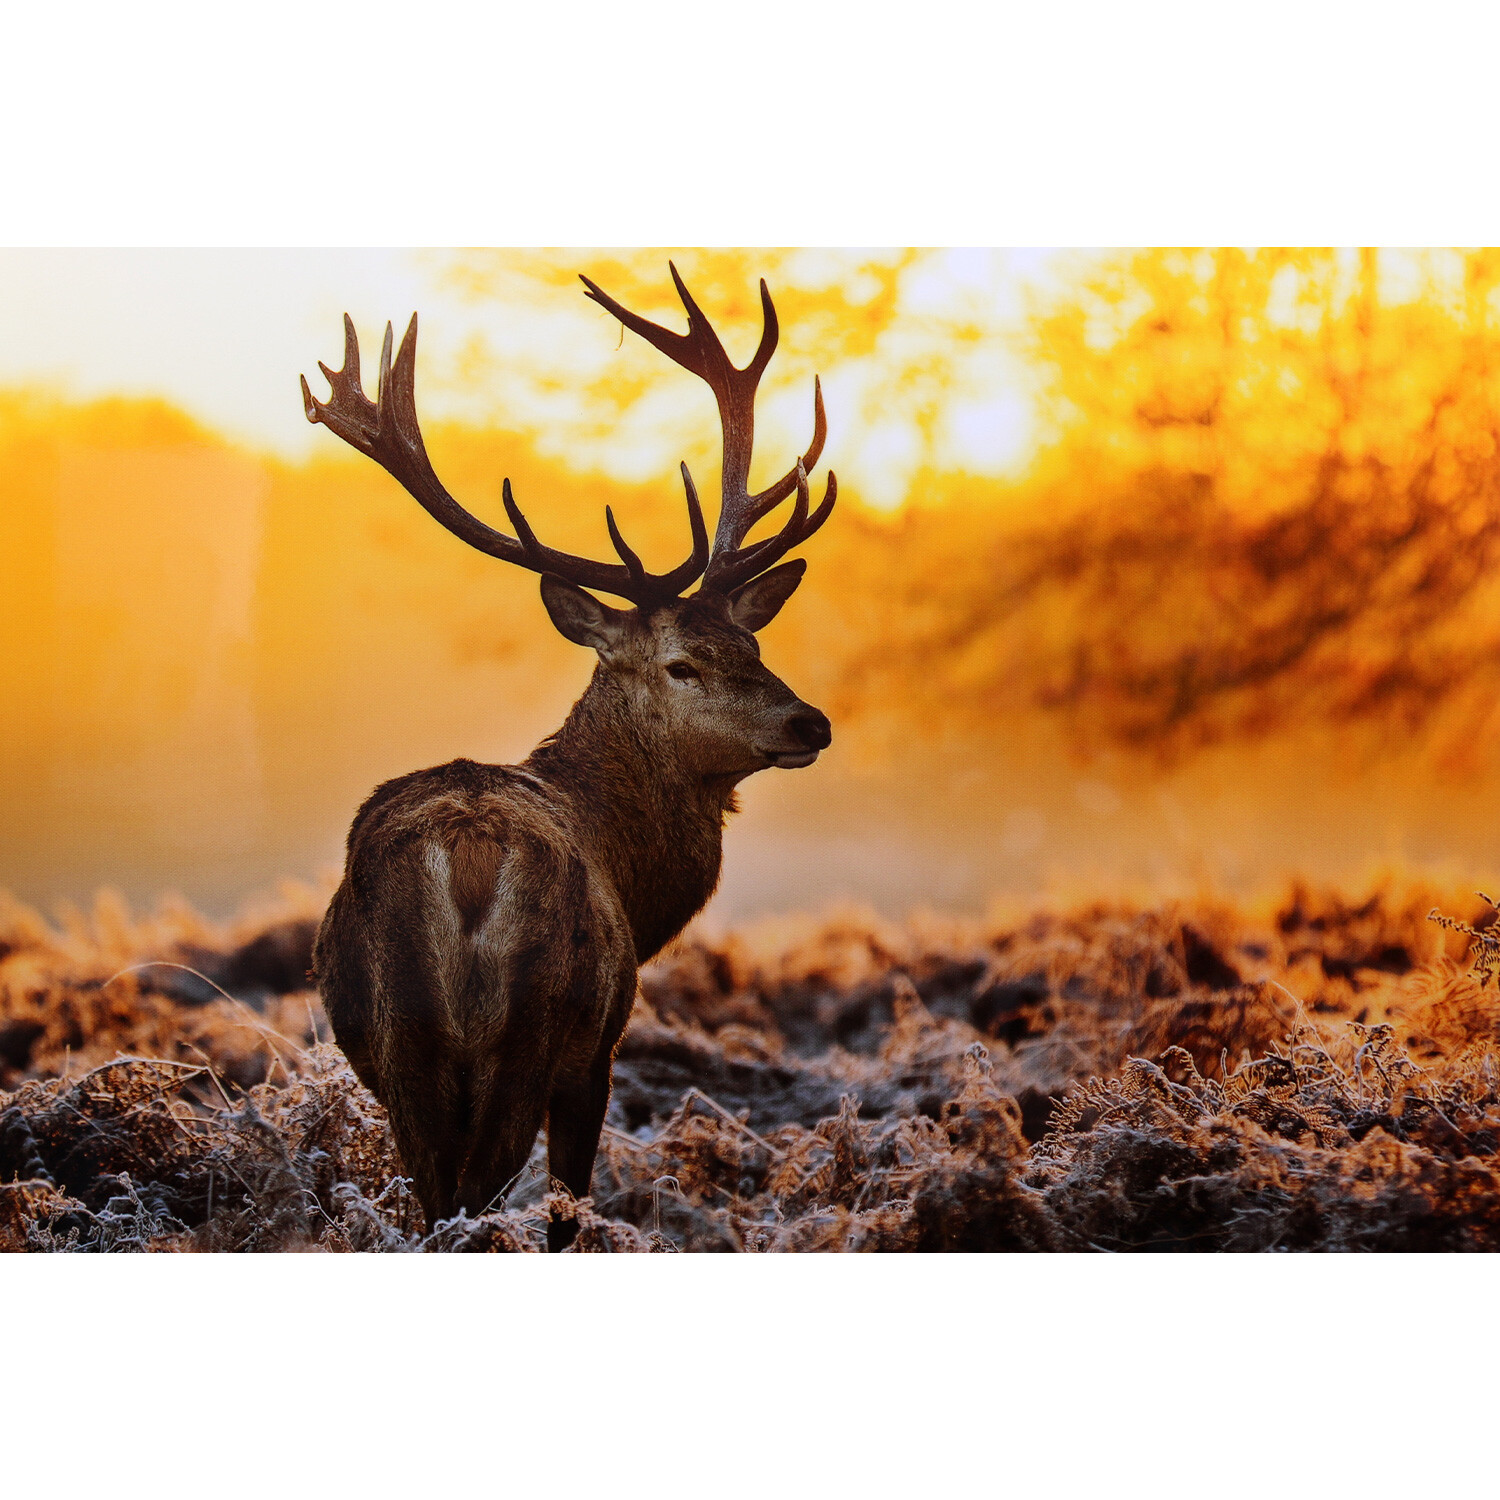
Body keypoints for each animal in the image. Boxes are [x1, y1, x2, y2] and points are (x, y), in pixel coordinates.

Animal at [301, 265, 836, 1249]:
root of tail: (466, 860)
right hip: (534, 1029)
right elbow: (568, 1209)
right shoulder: (600, 1051)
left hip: (405, 1047)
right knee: (476, 1201)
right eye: (683, 662)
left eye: (754, 645)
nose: (809, 723)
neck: (633, 871)